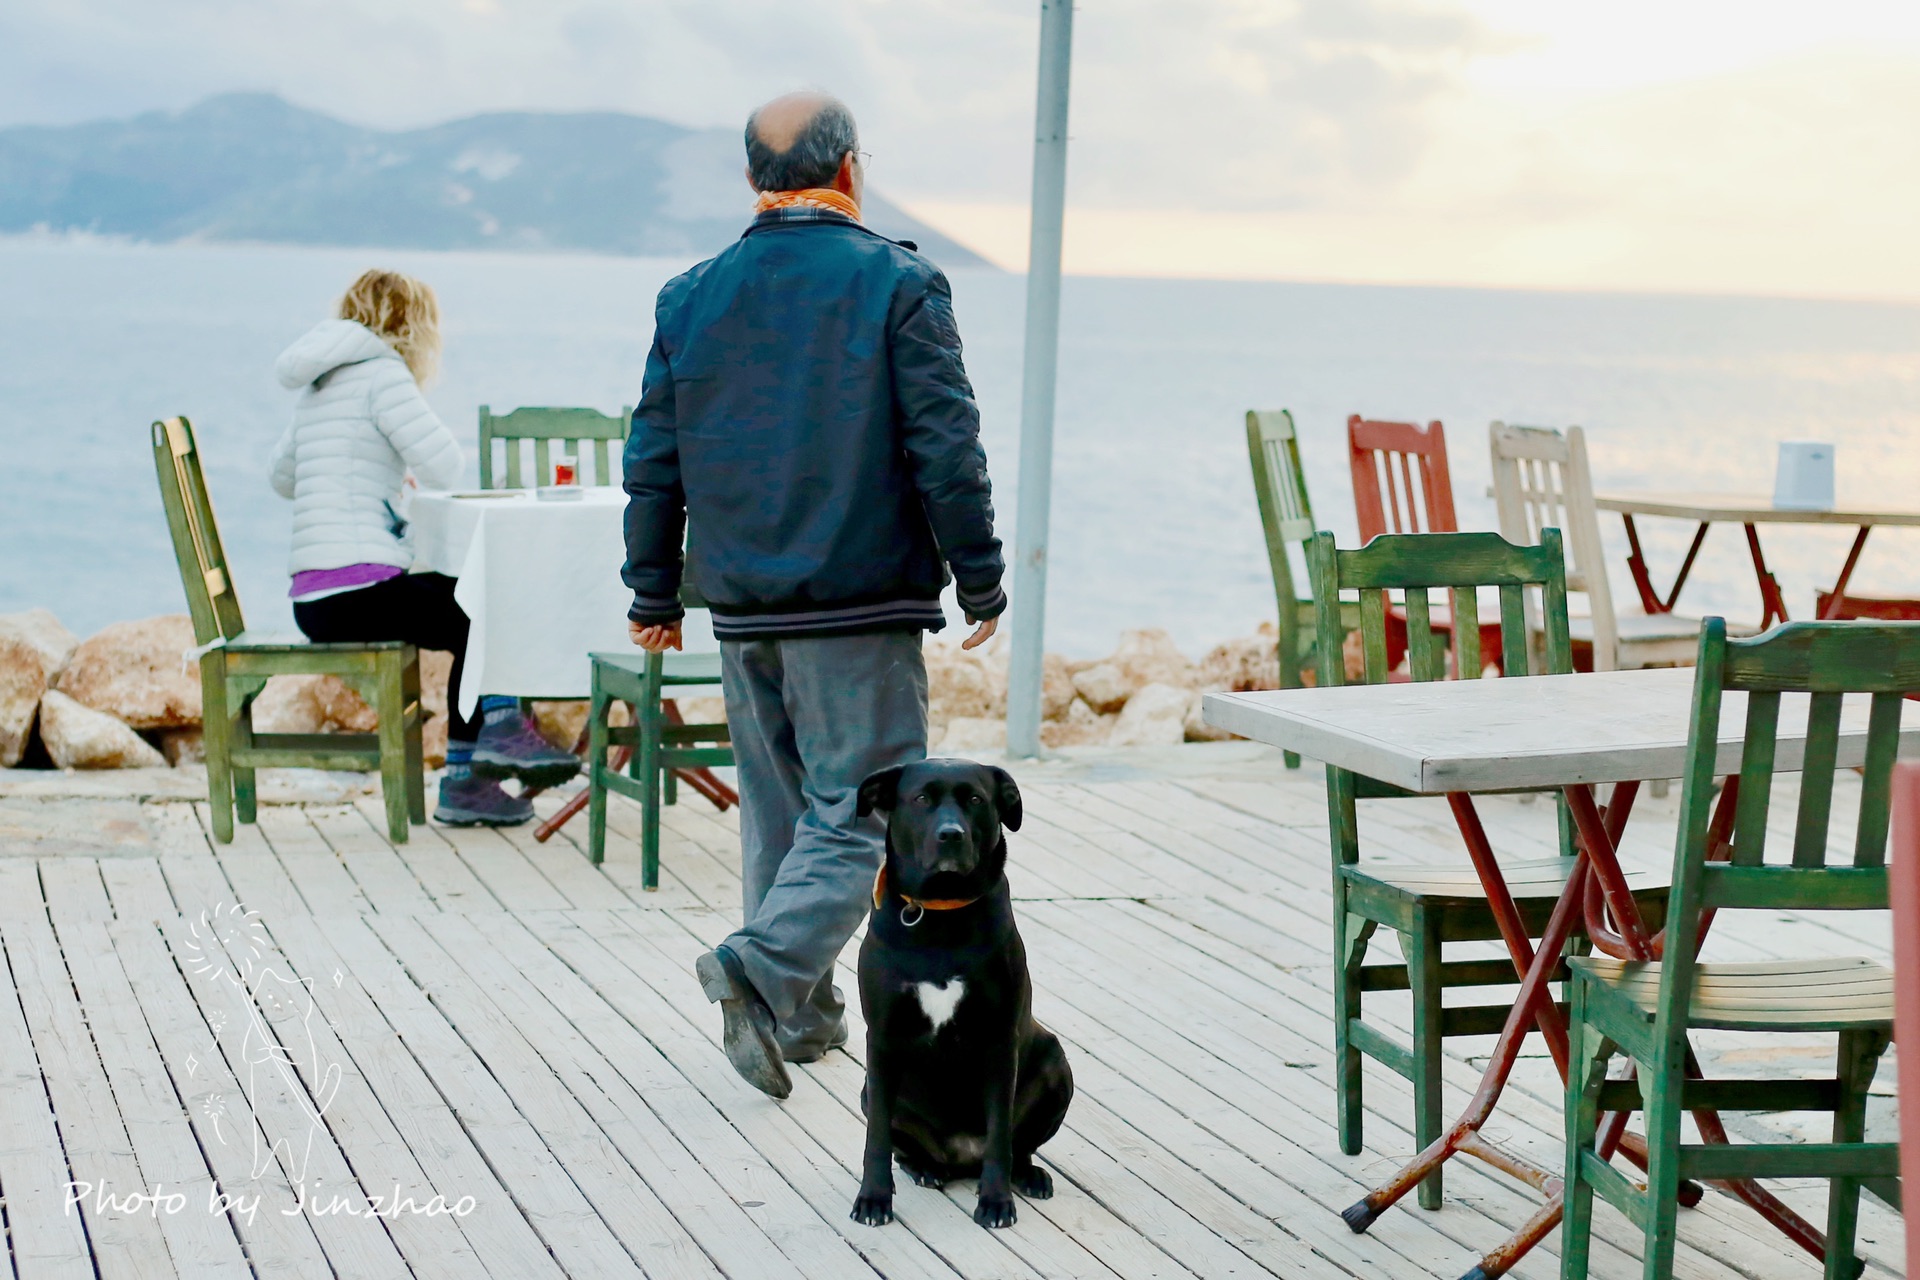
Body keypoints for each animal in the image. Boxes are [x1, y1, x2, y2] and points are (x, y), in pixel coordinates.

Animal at [848, 759, 1075, 1228]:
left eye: (975, 799)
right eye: (921, 799)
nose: (950, 834)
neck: (940, 913)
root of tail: (960, 1159)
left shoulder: (999, 1040)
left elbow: (1000, 1136)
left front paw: (996, 1202)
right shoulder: (882, 1040)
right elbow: (876, 1139)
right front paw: (874, 1199)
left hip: (1056, 1062)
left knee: (1018, 1147)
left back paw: (1028, 1175)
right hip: (867, 1089)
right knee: (904, 1148)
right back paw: (925, 1167)